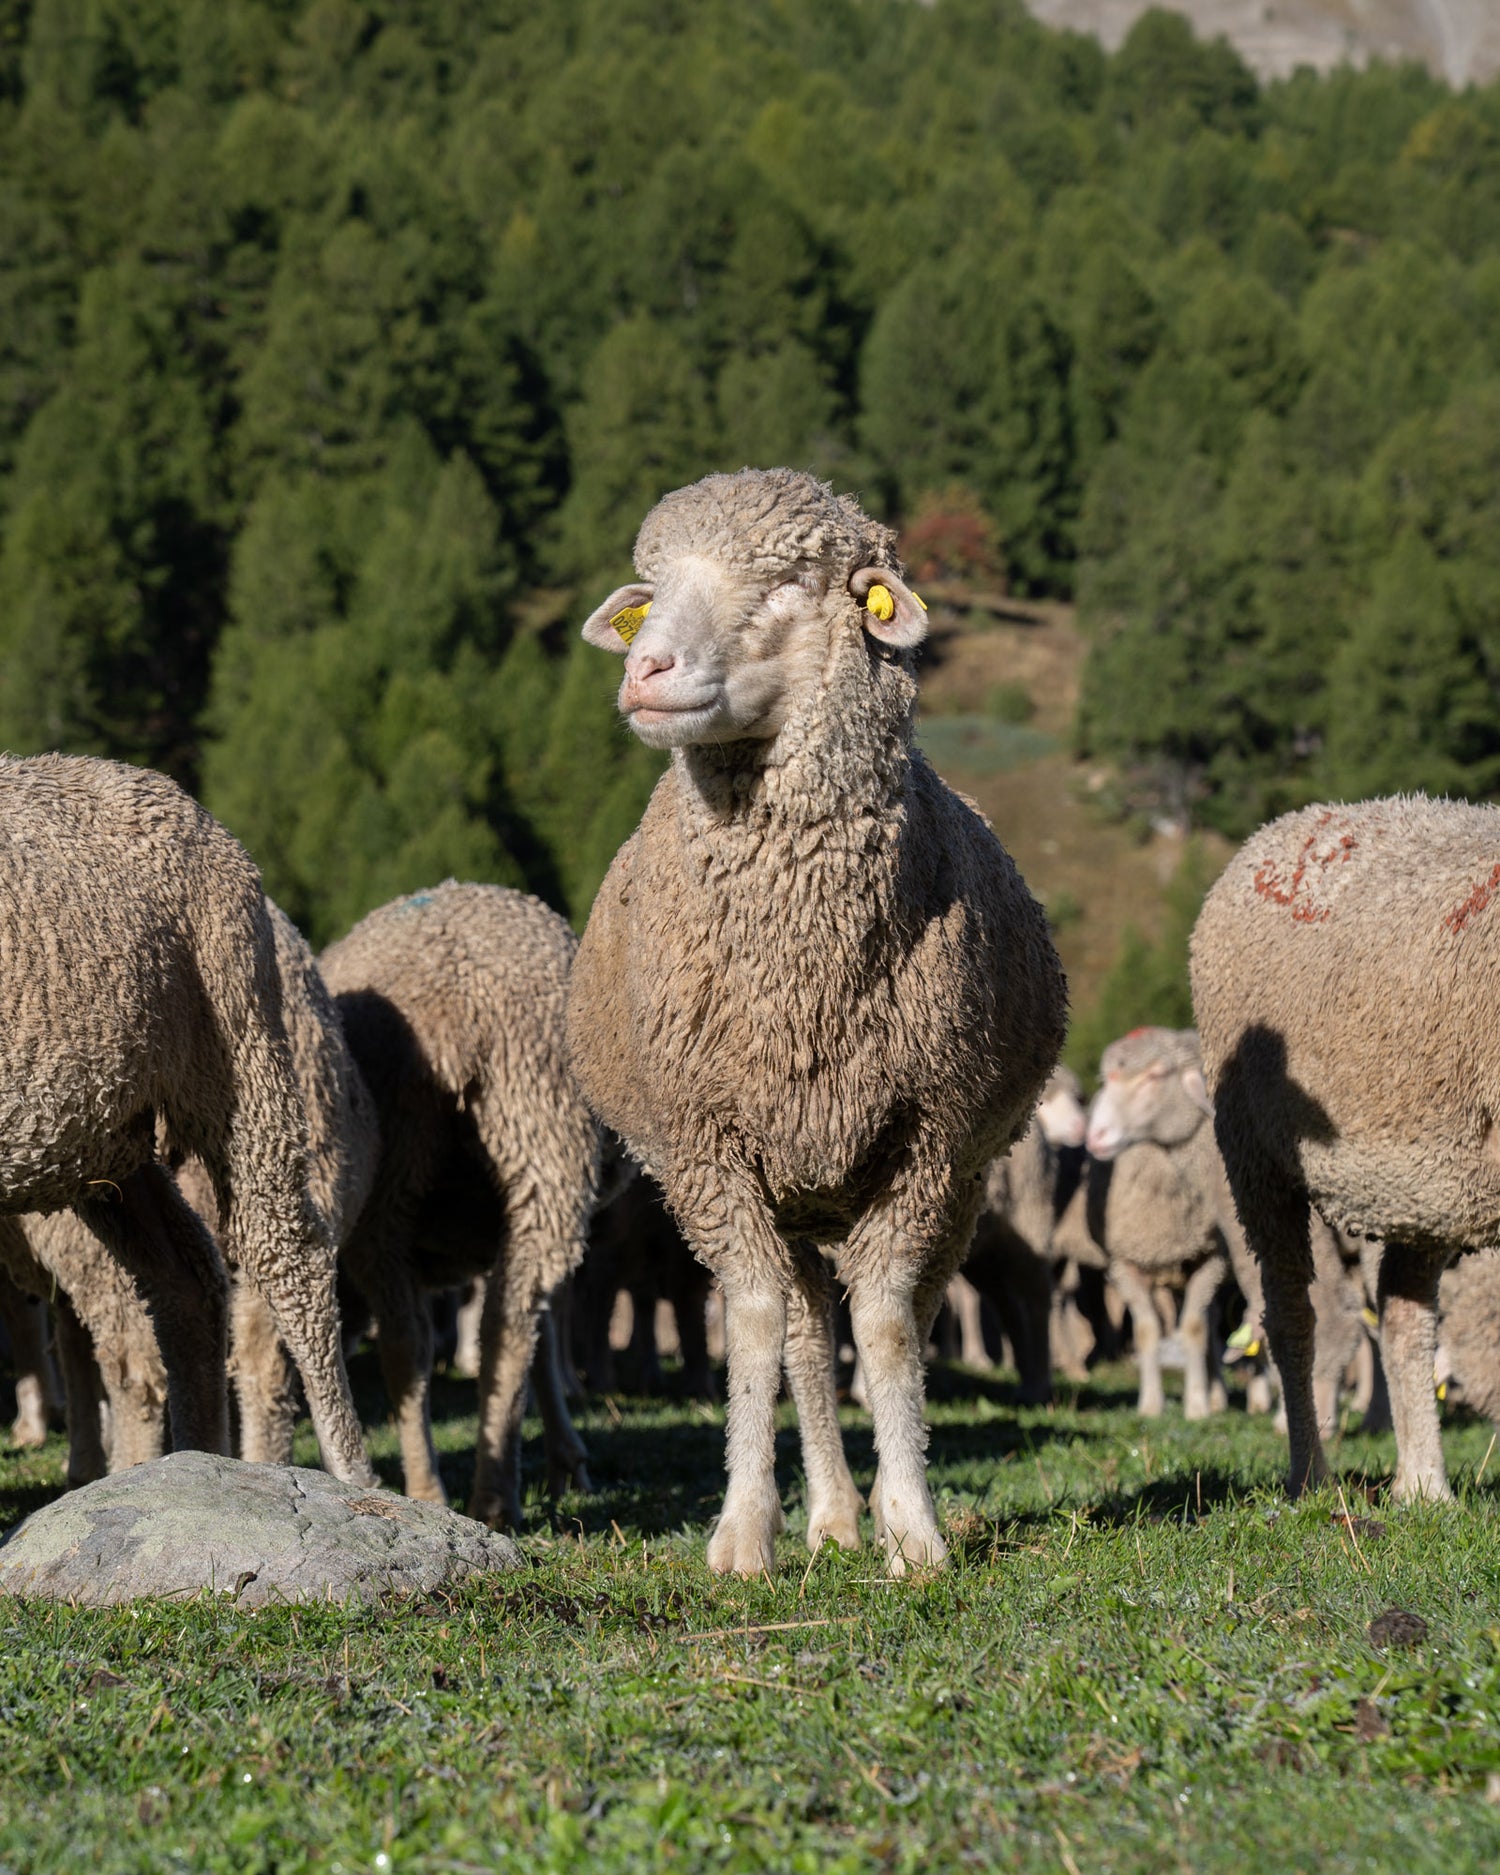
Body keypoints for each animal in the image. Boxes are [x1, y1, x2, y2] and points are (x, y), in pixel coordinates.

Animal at [0, 753, 373, 1485]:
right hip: (102, 1135)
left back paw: (352, 1476)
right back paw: (197, 1463)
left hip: (236, 1045)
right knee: (187, 1279)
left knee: (287, 1256)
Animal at [318, 873, 600, 1522]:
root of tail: (455, 1006)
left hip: (407, 1169)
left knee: (418, 1341)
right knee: (500, 1330)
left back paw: (446, 1491)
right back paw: (490, 1493)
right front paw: (567, 1459)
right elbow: (545, 1342)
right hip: (539, 1145)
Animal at [562, 465, 1065, 1567]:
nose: (646, 668)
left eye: (790, 580)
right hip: (783, 1181)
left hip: (956, 1181)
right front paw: (742, 1536)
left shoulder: (927, 1140)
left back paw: (862, 1507)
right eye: (650, 588)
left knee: (900, 1312)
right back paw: (829, 1516)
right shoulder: (705, 1148)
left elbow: (886, 1326)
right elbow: (753, 1324)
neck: (800, 964)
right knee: (800, 1331)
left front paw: (914, 1530)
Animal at [1192, 798, 1500, 1500]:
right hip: (1256, 1158)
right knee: (1292, 1319)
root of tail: (1280, 829)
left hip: (1425, 1183)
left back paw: (1423, 1487)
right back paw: (1310, 1473)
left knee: (1404, 1318)